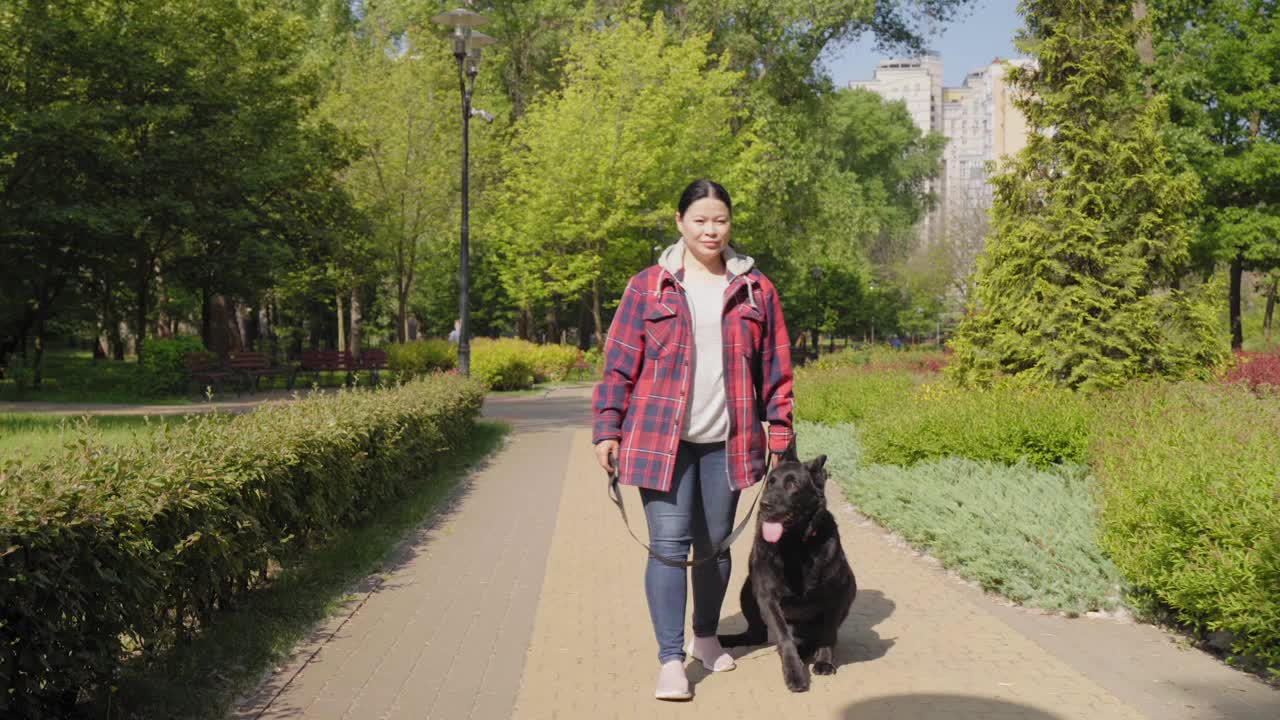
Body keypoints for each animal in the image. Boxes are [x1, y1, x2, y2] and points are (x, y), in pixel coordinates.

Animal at [716, 453, 855, 691]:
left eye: (793, 484)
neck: (794, 544)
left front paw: (824, 661)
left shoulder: (837, 592)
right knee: (757, 634)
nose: (764, 504)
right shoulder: (767, 596)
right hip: (748, 589)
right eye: (770, 482)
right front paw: (794, 672)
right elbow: (784, 637)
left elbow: (828, 632)